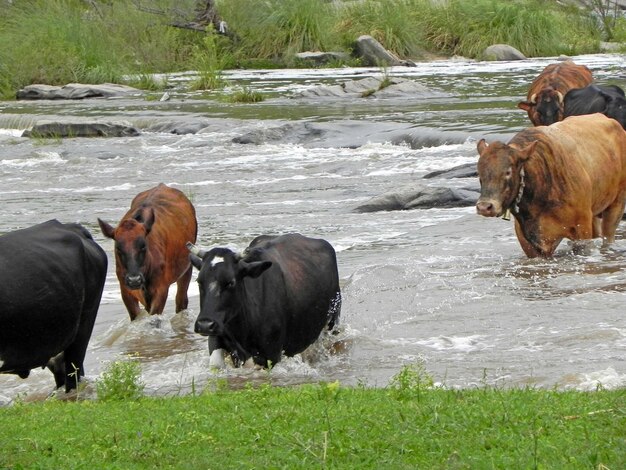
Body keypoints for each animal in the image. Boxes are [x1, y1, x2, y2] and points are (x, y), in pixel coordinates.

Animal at [97, 183, 196, 320]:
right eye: (118, 248)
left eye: (143, 246)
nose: (134, 280)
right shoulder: (125, 290)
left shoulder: (161, 289)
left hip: (186, 269)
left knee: (181, 300)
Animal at [188, 233, 342, 370]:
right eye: (199, 281)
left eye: (231, 282)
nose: (205, 325)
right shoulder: (217, 335)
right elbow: (216, 364)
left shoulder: (271, 354)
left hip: (332, 322)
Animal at [476, 114, 624, 260]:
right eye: (480, 172)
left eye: (508, 172)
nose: (484, 207)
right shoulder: (528, 243)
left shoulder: (582, 232)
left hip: (616, 205)